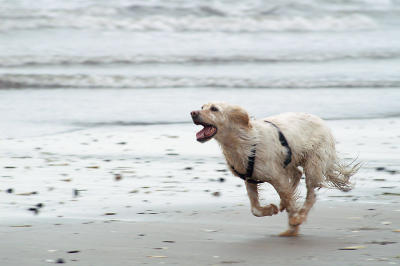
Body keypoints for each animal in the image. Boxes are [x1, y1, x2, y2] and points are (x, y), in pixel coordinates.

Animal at [191, 102, 360, 237]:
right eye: (202, 107)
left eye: (214, 109)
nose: (193, 113)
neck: (243, 141)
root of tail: (322, 121)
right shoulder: (250, 179)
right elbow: (255, 209)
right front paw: (271, 209)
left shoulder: (277, 177)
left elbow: (290, 201)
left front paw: (294, 223)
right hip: (290, 161)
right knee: (297, 174)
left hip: (313, 164)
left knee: (311, 194)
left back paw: (299, 216)